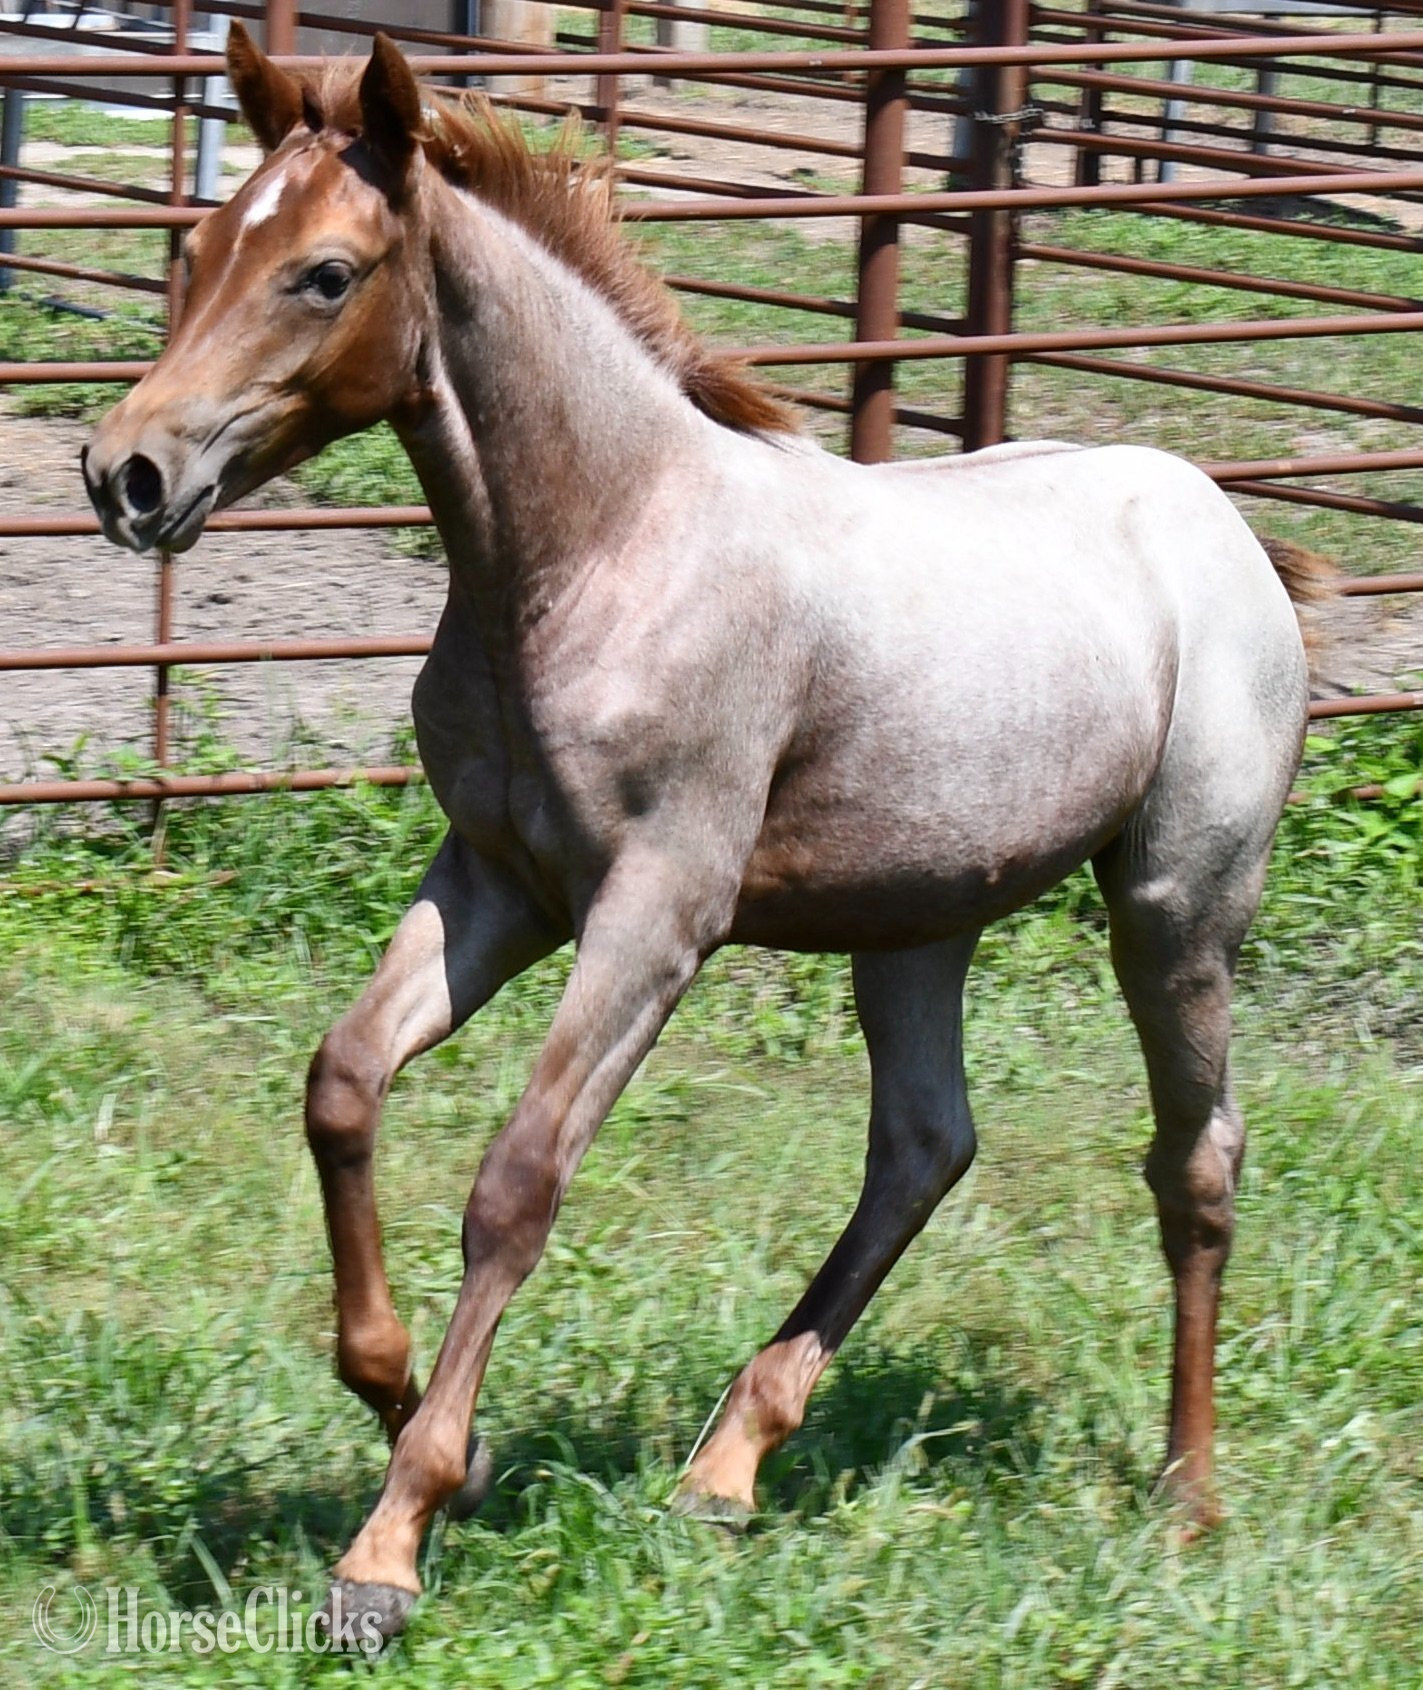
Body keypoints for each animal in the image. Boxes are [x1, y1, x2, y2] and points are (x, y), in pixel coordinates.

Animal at [82, 24, 1321, 1641]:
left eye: (325, 274)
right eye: (203, 248)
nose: (127, 473)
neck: (600, 547)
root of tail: (1223, 525)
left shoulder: (655, 912)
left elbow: (517, 1179)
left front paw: (389, 1545)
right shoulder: (496, 881)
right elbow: (342, 1082)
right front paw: (439, 1432)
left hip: (1174, 903)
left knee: (1194, 1157)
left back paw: (1184, 1497)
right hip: (915, 916)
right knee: (923, 1142)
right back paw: (727, 1466)